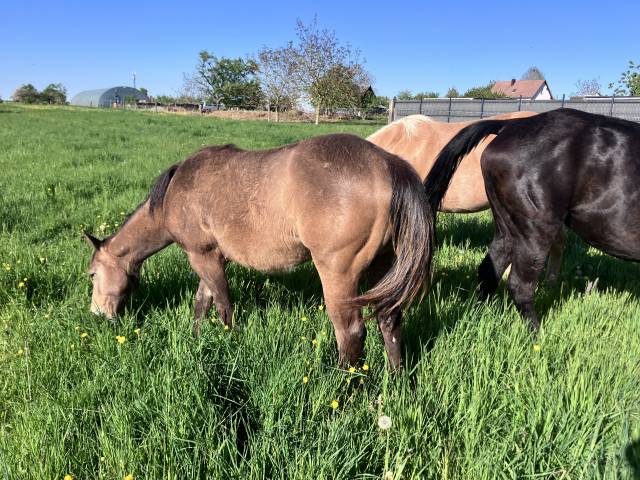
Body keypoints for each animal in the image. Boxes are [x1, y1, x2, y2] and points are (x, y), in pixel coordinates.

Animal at [85, 133, 457, 369]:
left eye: (91, 274)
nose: (98, 314)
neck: (175, 192)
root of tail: (389, 164)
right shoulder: (210, 257)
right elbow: (202, 302)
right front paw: (196, 337)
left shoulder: (202, 256)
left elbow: (222, 306)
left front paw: (229, 343)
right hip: (386, 267)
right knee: (389, 320)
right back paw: (396, 381)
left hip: (338, 275)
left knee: (351, 333)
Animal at [424, 108, 640, 330]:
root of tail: (512, 126)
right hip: (535, 230)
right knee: (520, 286)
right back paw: (538, 333)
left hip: (507, 228)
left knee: (489, 270)